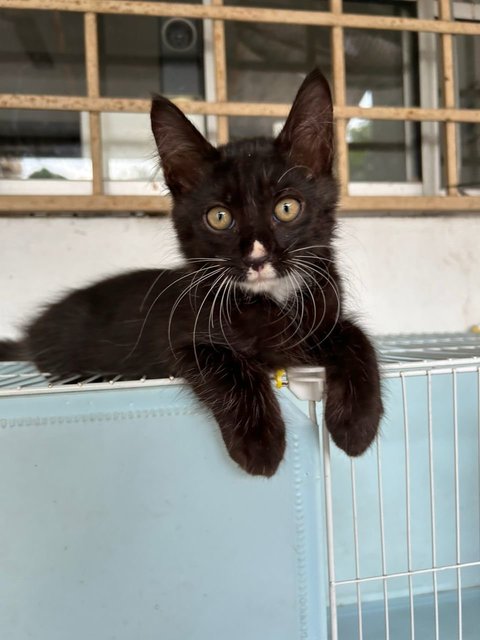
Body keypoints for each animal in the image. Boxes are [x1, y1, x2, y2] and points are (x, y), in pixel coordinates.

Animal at [0, 69, 382, 476]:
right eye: (219, 217)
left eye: (287, 208)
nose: (257, 257)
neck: (270, 299)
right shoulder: (179, 336)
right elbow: (226, 364)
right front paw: (260, 444)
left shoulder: (323, 312)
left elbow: (356, 336)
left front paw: (357, 424)